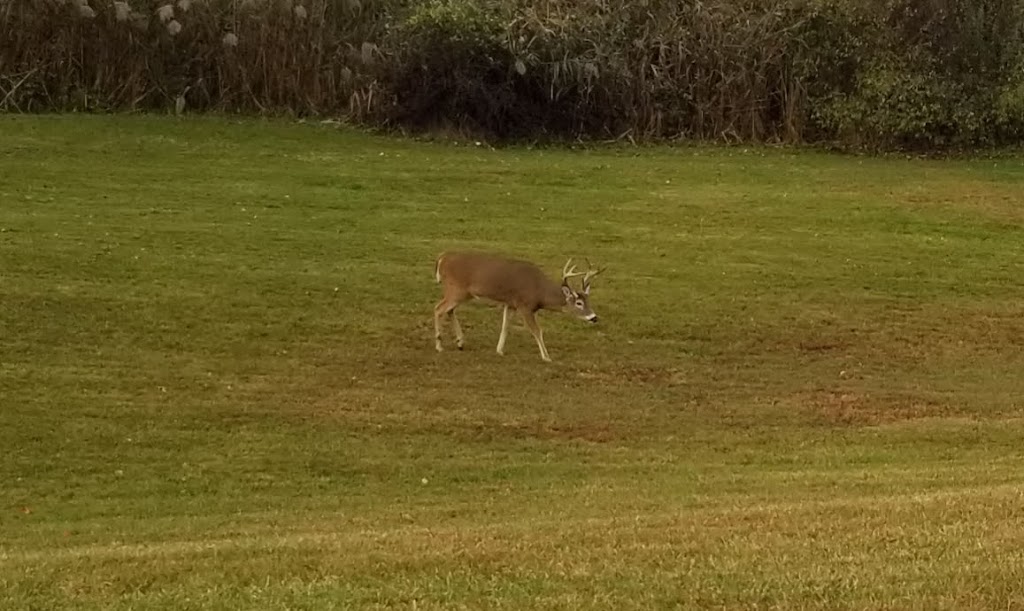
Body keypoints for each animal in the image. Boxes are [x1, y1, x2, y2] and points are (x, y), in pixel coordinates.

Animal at [430, 248, 598, 362]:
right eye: (579, 303)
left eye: (588, 300)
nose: (594, 317)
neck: (539, 292)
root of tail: (442, 258)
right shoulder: (525, 305)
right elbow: (537, 331)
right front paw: (546, 357)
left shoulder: (510, 304)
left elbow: (505, 326)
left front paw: (499, 350)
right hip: (456, 289)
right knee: (439, 308)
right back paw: (439, 346)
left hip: (462, 293)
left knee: (449, 310)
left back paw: (460, 342)